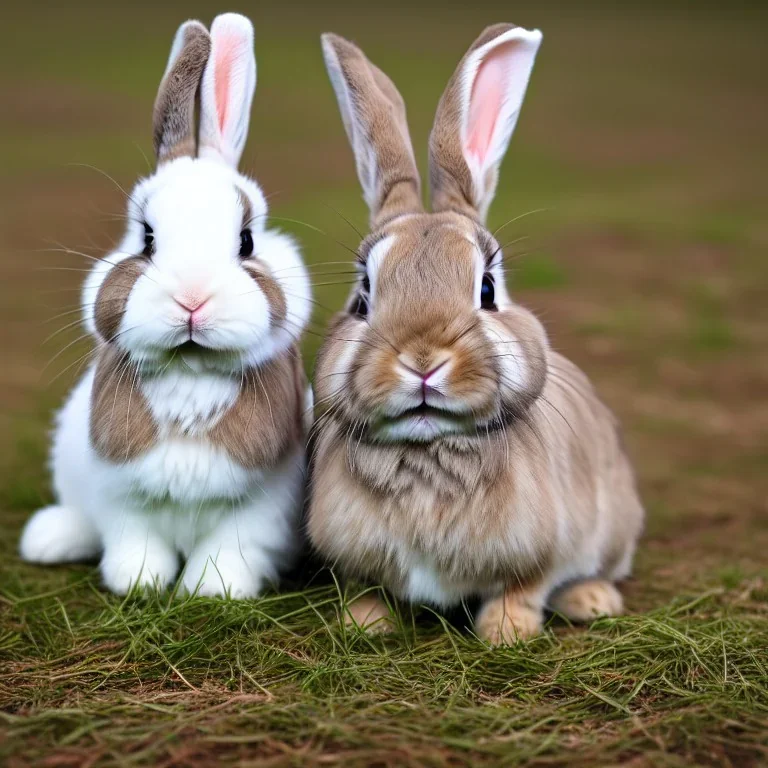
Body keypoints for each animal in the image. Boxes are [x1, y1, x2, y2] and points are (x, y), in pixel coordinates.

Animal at [20, 13, 312, 600]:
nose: (192, 299)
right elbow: (135, 543)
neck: (192, 371)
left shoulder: (259, 509)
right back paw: (49, 538)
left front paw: (213, 591)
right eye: (147, 238)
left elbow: (230, 551)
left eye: (246, 241)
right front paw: (139, 584)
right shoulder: (122, 497)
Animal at [308, 27, 644, 640]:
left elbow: (524, 587)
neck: (428, 452)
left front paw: (506, 633)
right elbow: (367, 587)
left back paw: (592, 600)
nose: (422, 360)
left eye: (487, 289)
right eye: (363, 296)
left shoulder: (541, 550)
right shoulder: (355, 556)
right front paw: (364, 626)